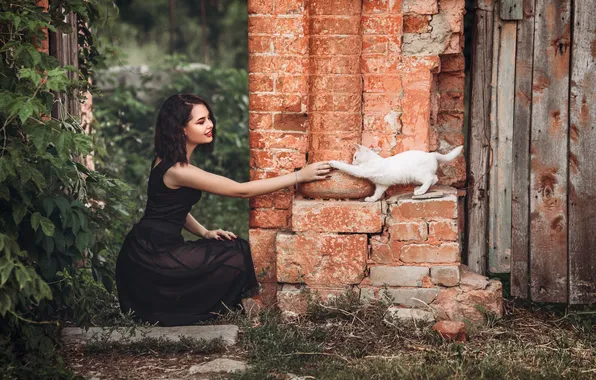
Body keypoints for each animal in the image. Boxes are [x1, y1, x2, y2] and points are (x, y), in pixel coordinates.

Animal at [328, 145, 464, 202]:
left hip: (417, 174)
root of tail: (431, 154)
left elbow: (347, 167)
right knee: (434, 178)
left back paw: (420, 191)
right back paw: (421, 188)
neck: (373, 160)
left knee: (429, 178)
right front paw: (371, 199)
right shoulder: (381, 185)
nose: (353, 161)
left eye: (355, 157)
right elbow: (377, 194)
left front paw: (334, 162)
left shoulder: (361, 170)